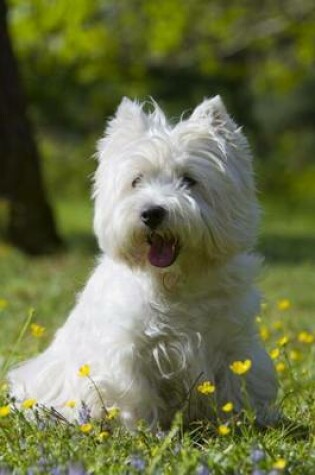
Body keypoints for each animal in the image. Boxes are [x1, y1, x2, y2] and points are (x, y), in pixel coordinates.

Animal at [8, 96, 278, 432]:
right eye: (136, 180)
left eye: (189, 180)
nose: (151, 213)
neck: (174, 281)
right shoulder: (128, 351)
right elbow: (135, 393)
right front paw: (143, 432)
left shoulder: (234, 343)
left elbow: (237, 384)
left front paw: (240, 422)